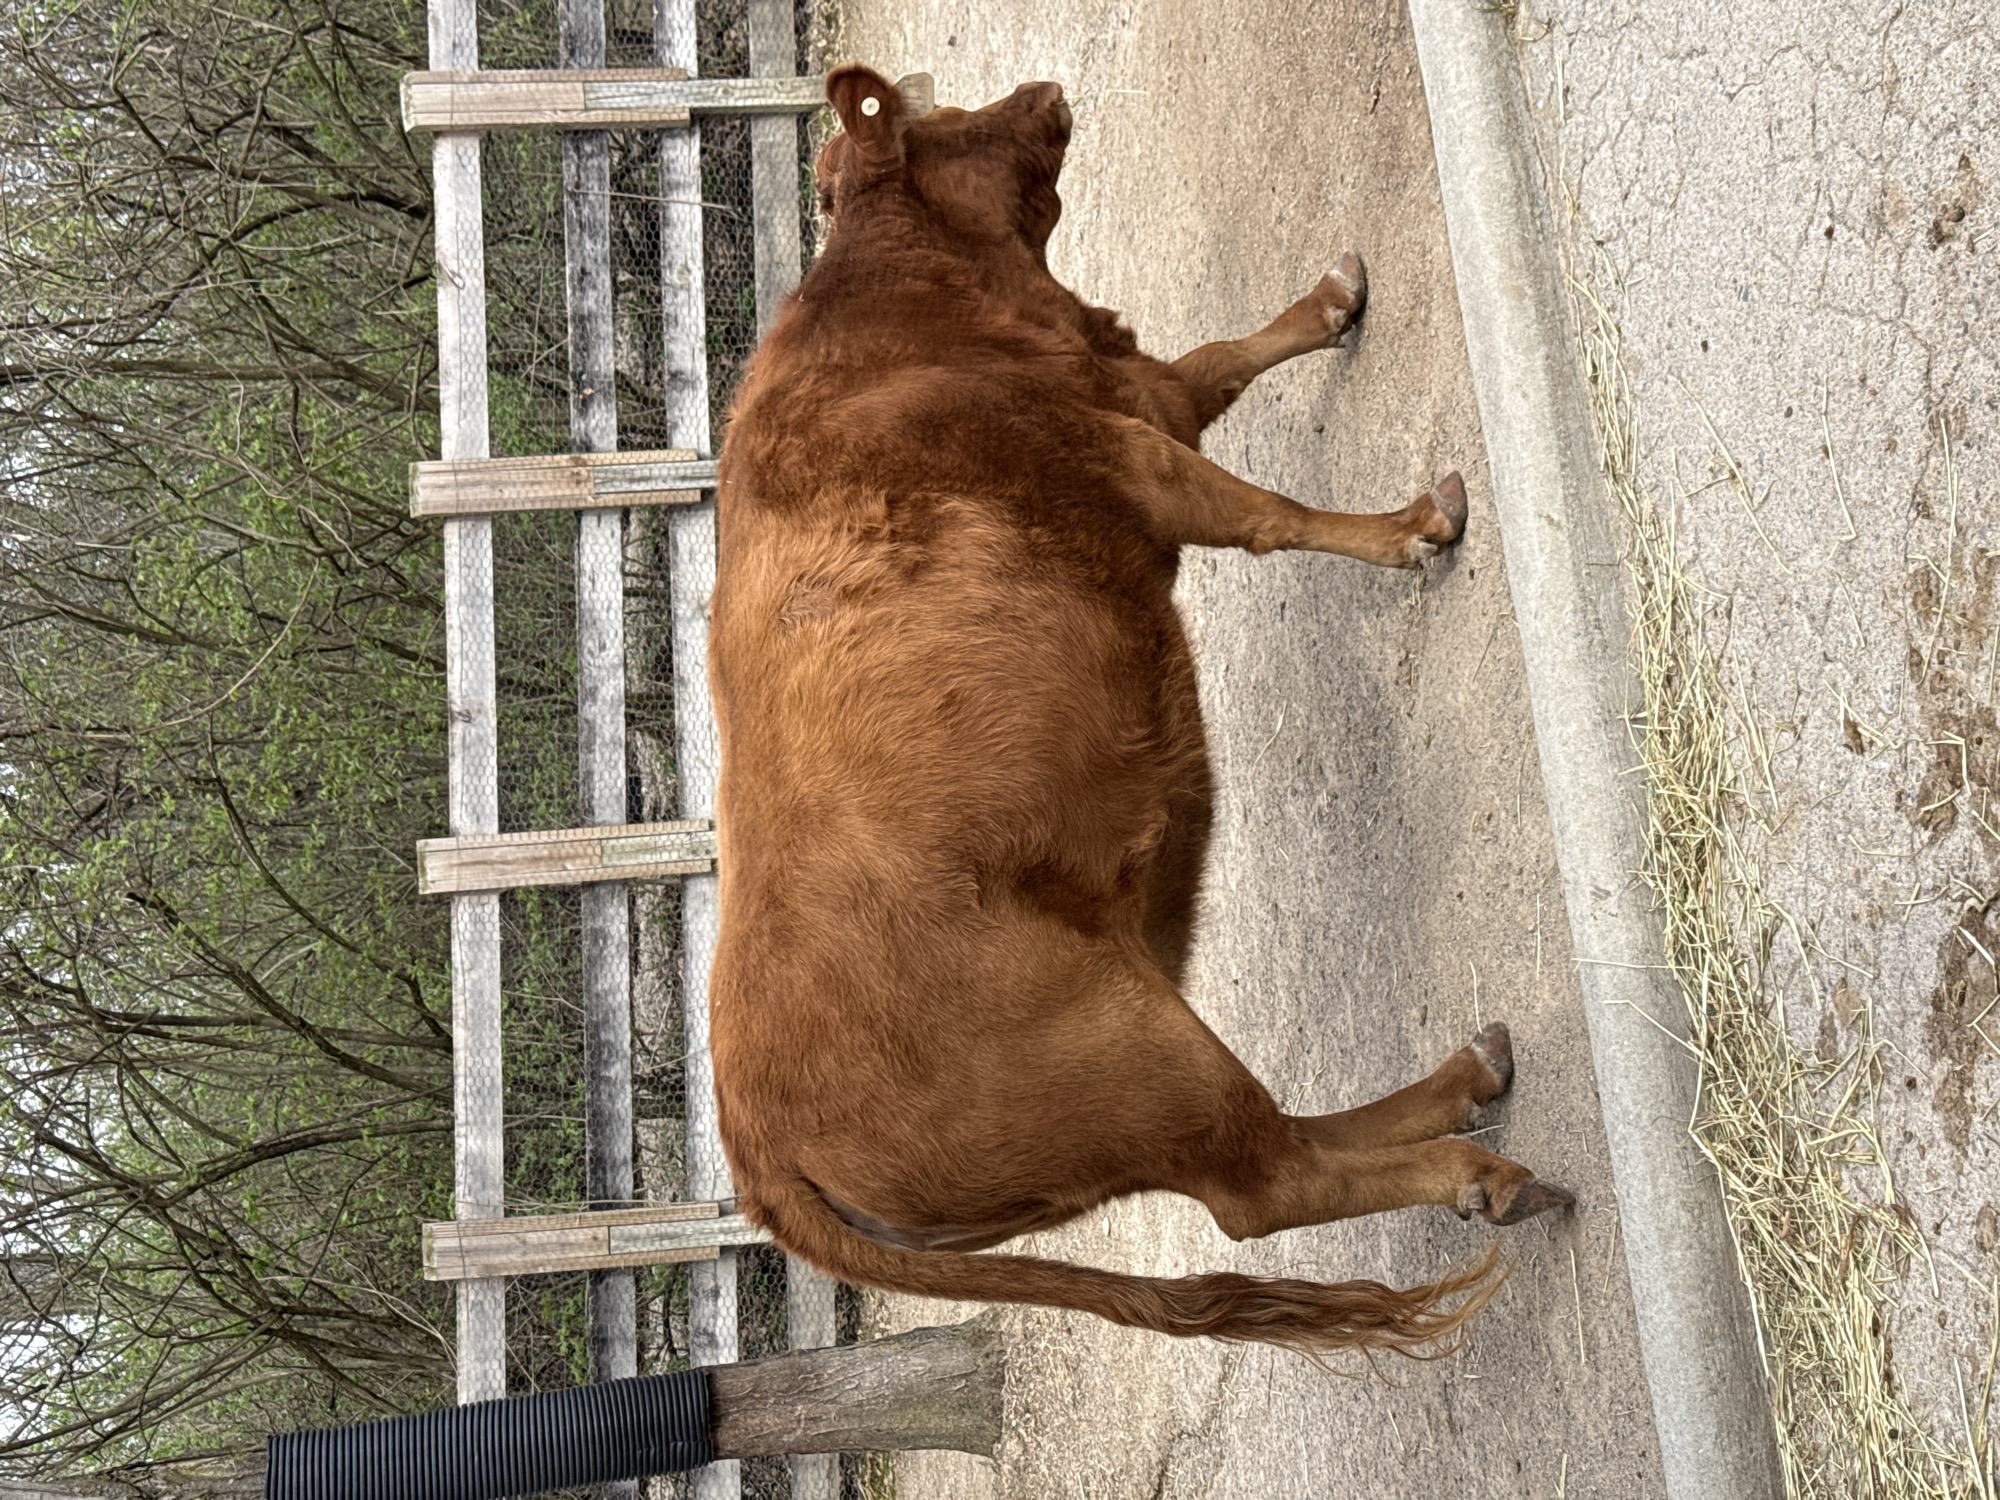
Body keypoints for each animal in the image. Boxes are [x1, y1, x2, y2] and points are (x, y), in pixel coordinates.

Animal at [707, 64, 1572, 1358]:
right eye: (940, 122)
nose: (1037, 85)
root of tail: (757, 1161)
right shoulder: (1125, 457)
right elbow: (1266, 511)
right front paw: (1414, 526)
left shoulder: (1143, 396)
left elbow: (1216, 357)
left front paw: (1331, 302)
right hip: (1137, 1063)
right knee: (1263, 1187)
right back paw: (1478, 1167)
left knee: (1276, 1151)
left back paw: (1468, 1085)